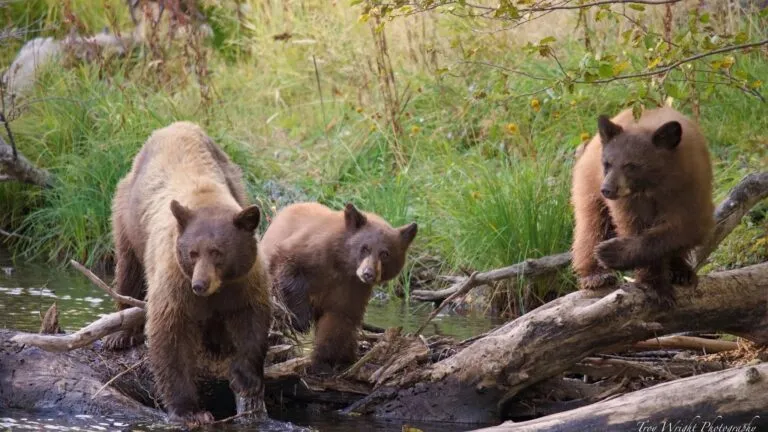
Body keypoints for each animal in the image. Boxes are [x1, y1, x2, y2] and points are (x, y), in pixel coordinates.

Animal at [104, 121, 271, 425]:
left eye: (217, 252)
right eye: (193, 253)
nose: (200, 285)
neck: (207, 199)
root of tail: (175, 125)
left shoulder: (246, 279)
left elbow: (252, 320)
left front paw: (246, 378)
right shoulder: (175, 278)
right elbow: (171, 332)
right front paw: (190, 410)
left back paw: (217, 342)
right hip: (127, 215)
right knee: (128, 267)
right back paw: (120, 334)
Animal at [260, 202, 418, 371]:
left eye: (385, 253)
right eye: (365, 248)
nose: (368, 273)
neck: (342, 264)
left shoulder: (352, 287)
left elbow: (339, 317)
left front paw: (325, 361)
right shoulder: (311, 249)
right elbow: (288, 268)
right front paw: (301, 321)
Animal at [571, 107, 714, 305]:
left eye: (631, 165)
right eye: (607, 163)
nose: (607, 189)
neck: (654, 186)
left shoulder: (691, 187)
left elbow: (685, 229)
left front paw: (611, 252)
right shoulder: (628, 203)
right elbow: (633, 227)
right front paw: (655, 285)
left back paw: (681, 271)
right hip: (588, 182)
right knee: (592, 226)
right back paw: (596, 276)